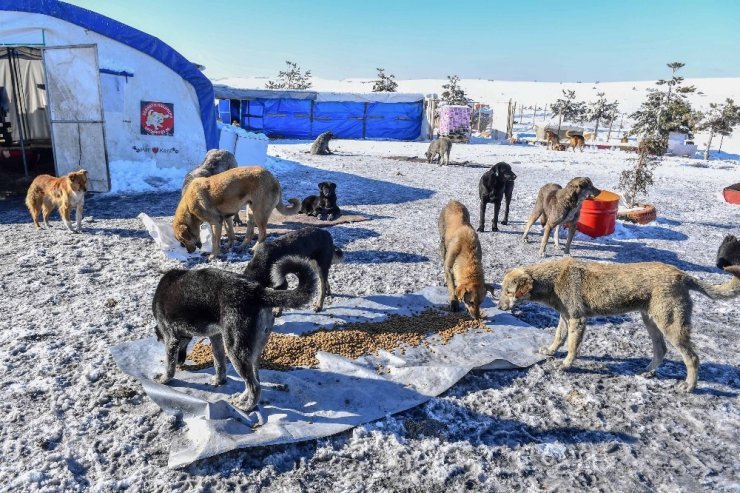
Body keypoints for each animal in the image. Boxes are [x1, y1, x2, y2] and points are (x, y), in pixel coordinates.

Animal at [153, 254, 318, 412]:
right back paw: (243, 397)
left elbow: (169, 364)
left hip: (235, 349)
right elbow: (219, 362)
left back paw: (247, 407)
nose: (181, 362)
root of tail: (257, 292)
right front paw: (219, 380)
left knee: (255, 386)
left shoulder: (171, 338)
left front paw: (164, 379)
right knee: (255, 379)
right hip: (252, 351)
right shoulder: (215, 336)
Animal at [498, 258, 740, 392]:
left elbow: (572, 347)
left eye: (508, 292)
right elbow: (558, 337)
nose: (499, 306)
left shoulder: (578, 319)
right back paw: (648, 372)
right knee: (661, 350)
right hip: (651, 320)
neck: (554, 280)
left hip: (671, 324)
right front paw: (549, 351)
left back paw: (689, 386)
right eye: (502, 290)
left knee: (692, 357)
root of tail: (682, 274)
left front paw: (566, 364)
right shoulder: (565, 317)